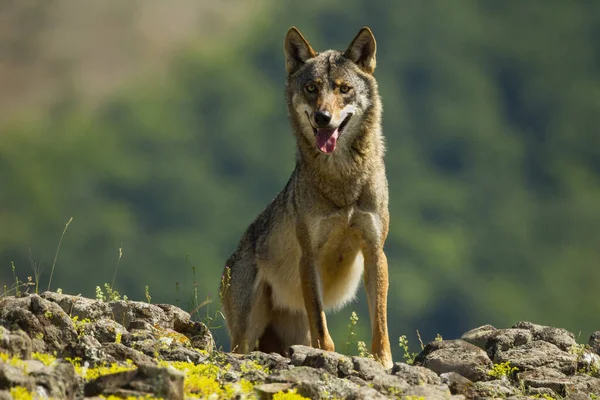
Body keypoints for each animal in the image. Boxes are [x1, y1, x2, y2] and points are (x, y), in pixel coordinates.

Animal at [220, 26, 394, 368]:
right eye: (312, 88)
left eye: (344, 89)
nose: (322, 117)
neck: (342, 181)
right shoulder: (309, 256)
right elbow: (321, 327)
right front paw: (326, 357)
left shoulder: (374, 251)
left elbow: (380, 321)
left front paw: (383, 362)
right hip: (246, 331)